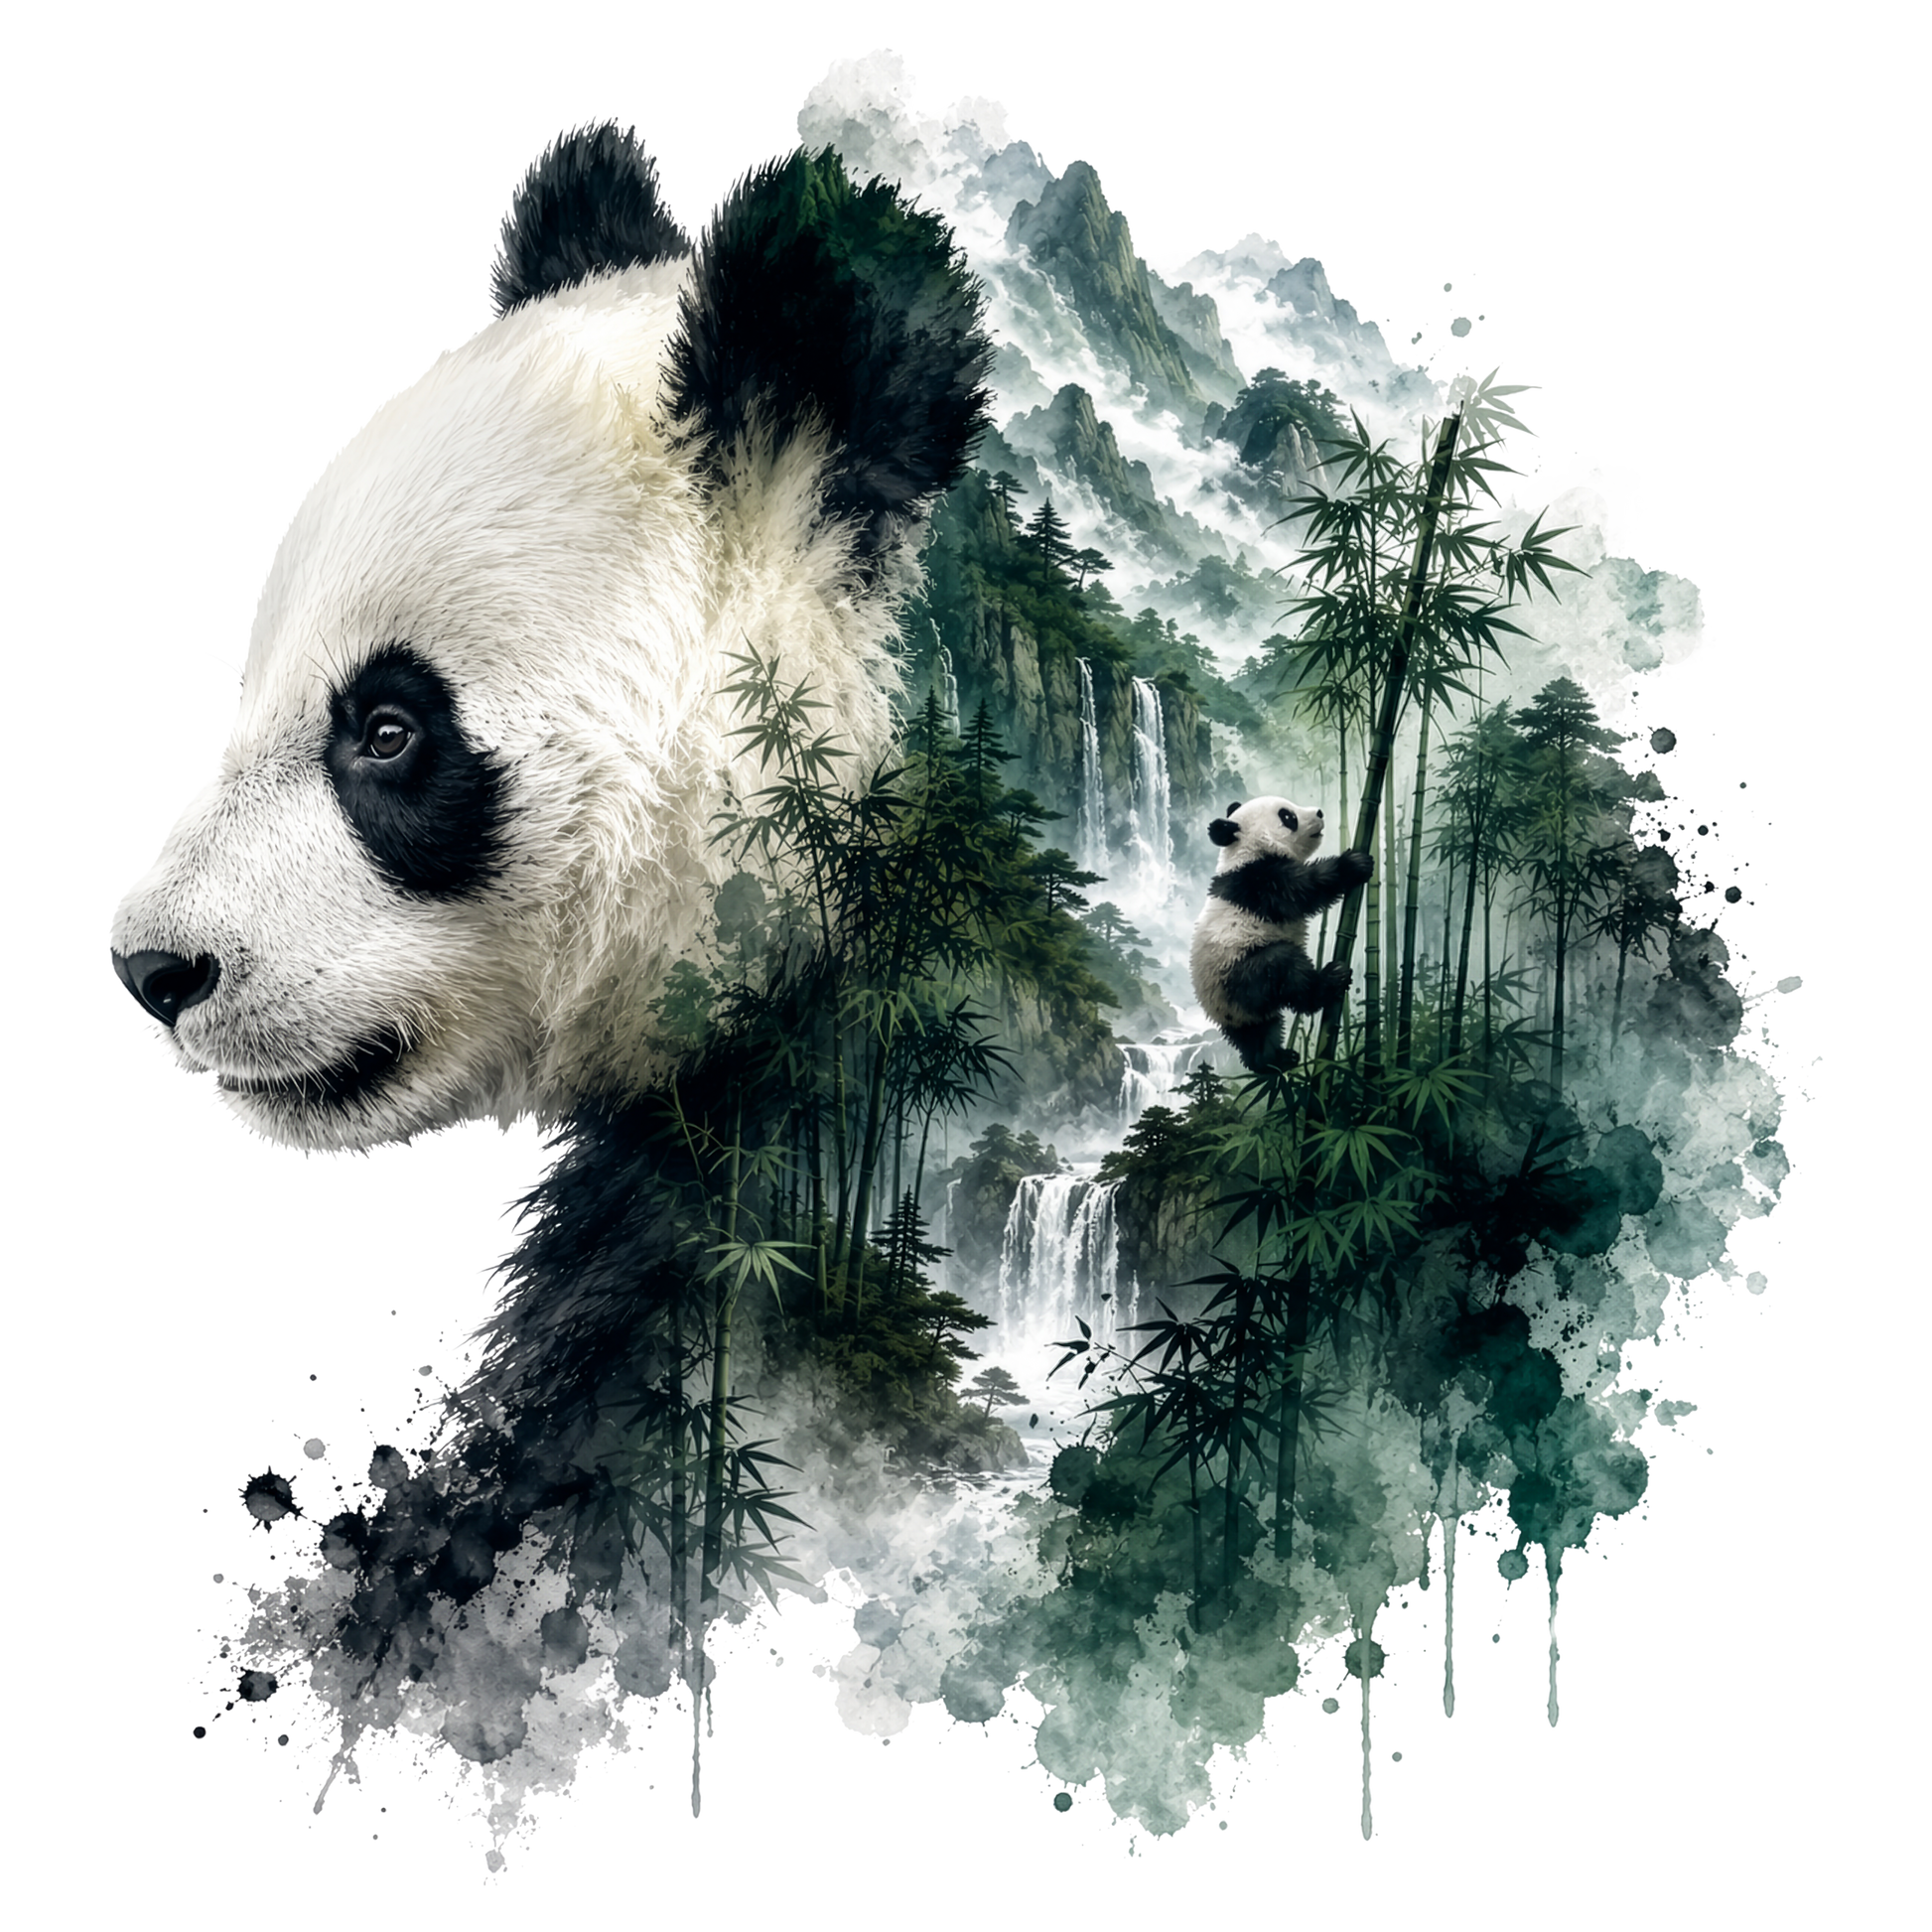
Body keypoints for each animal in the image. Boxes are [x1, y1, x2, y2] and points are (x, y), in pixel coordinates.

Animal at [1189, 796, 1374, 1070]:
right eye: (1288, 817)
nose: (1319, 812)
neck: (1244, 851)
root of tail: (1225, 1011)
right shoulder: (1259, 881)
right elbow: (1303, 889)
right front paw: (1353, 864)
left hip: (1246, 1011)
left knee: (1260, 1033)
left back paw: (1273, 1060)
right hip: (1239, 972)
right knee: (1284, 967)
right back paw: (1330, 979)